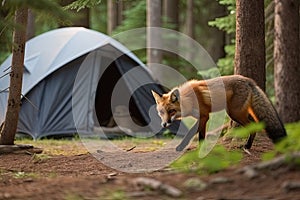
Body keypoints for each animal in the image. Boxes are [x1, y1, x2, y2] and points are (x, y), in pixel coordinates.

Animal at [151, 75, 288, 150]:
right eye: (161, 112)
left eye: (171, 111)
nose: (164, 124)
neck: (189, 100)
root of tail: (248, 80)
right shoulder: (202, 118)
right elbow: (201, 136)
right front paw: (201, 150)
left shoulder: (204, 116)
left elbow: (191, 133)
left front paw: (182, 147)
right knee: (256, 124)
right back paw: (248, 145)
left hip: (234, 113)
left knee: (253, 126)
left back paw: (247, 146)